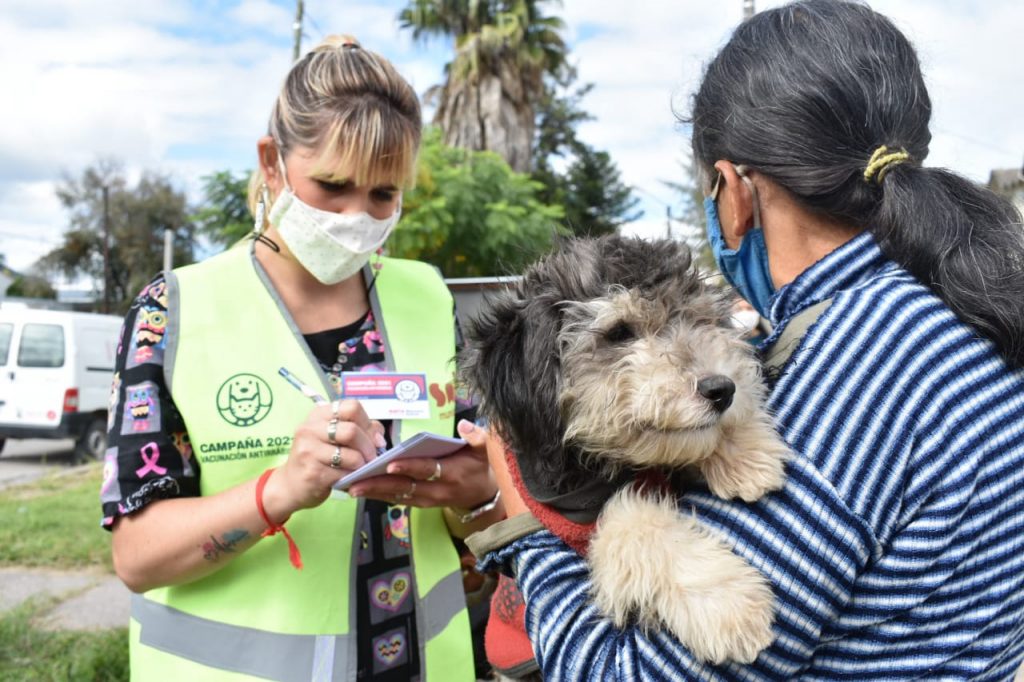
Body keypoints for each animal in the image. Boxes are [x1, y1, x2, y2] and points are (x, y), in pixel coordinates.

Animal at [460, 235, 786, 663]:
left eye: (699, 320)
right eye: (619, 333)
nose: (722, 389)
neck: (603, 465)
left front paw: (746, 452)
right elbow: (632, 524)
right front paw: (727, 603)